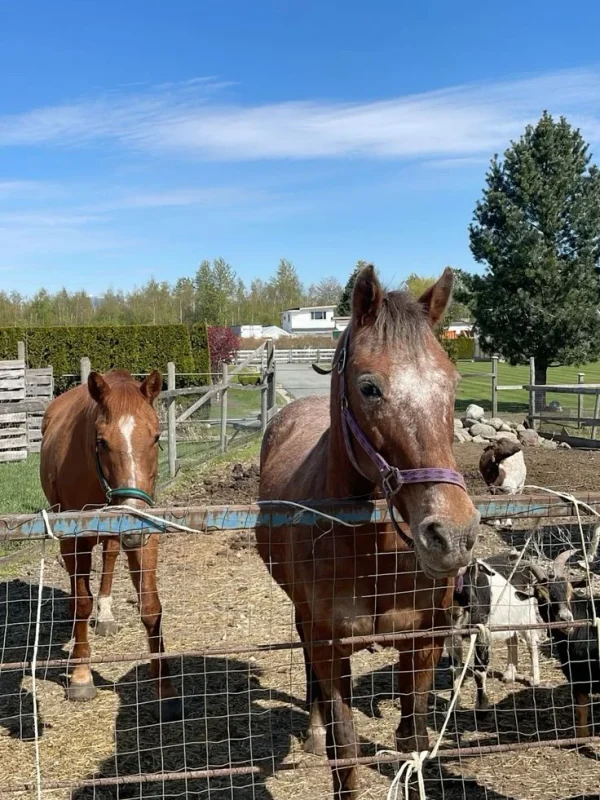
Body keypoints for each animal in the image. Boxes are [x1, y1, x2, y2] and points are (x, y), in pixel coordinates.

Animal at [40, 369, 181, 721]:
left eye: (156, 437)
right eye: (101, 442)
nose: (131, 517)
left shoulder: (146, 536)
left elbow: (151, 608)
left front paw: (166, 691)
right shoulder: (74, 539)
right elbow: (81, 602)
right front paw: (81, 677)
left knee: (110, 557)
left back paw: (105, 615)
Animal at [256, 265, 480, 798]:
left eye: (452, 382)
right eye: (369, 388)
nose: (452, 535)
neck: (372, 548)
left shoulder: (424, 644)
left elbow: (412, 743)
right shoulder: (330, 647)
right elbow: (345, 753)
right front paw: (327, 735)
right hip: (303, 617)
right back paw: (314, 728)